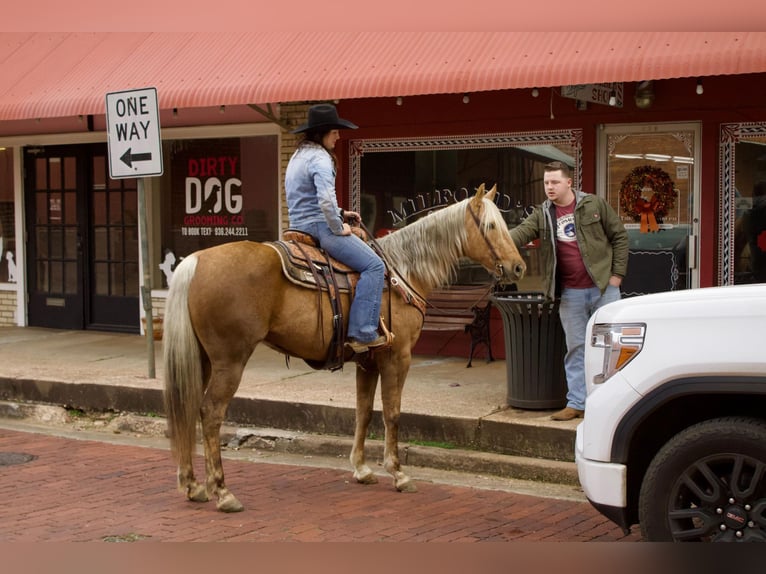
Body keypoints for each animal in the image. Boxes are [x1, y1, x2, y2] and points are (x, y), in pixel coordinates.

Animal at [164, 184, 528, 512]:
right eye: (491, 226)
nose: (518, 267)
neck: (403, 272)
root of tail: (195, 261)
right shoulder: (398, 357)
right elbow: (393, 413)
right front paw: (398, 473)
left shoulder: (367, 361)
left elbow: (363, 412)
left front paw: (362, 469)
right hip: (230, 361)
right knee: (211, 413)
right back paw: (223, 492)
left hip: (203, 359)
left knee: (188, 406)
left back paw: (193, 485)